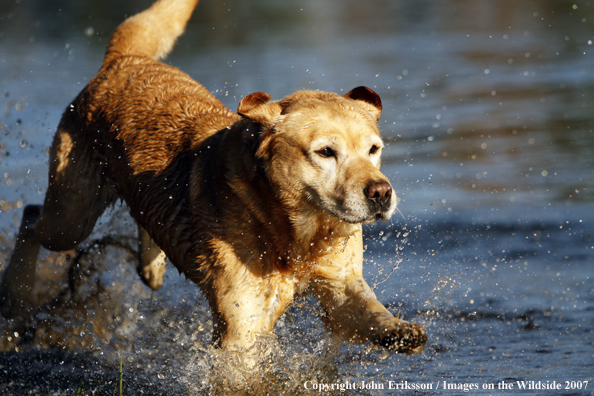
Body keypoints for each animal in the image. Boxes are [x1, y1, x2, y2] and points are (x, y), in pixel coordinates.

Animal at [0, 0, 426, 352]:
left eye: (374, 149)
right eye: (325, 152)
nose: (381, 192)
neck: (289, 229)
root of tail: (125, 59)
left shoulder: (340, 285)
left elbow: (369, 310)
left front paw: (400, 329)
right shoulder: (241, 328)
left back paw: (151, 264)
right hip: (70, 216)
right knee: (32, 216)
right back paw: (14, 296)